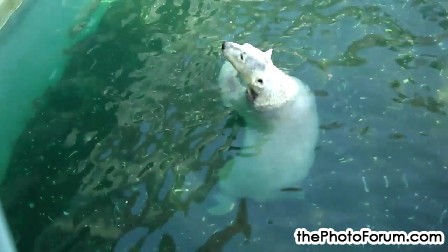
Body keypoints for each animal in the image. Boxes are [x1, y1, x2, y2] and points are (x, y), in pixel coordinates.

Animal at [210, 41, 318, 215]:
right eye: (246, 44)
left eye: (242, 56)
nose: (224, 44)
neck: (278, 93)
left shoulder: (253, 108)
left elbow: (232, 94)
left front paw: (228, 70)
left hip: (242, 172)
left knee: (228, 185)